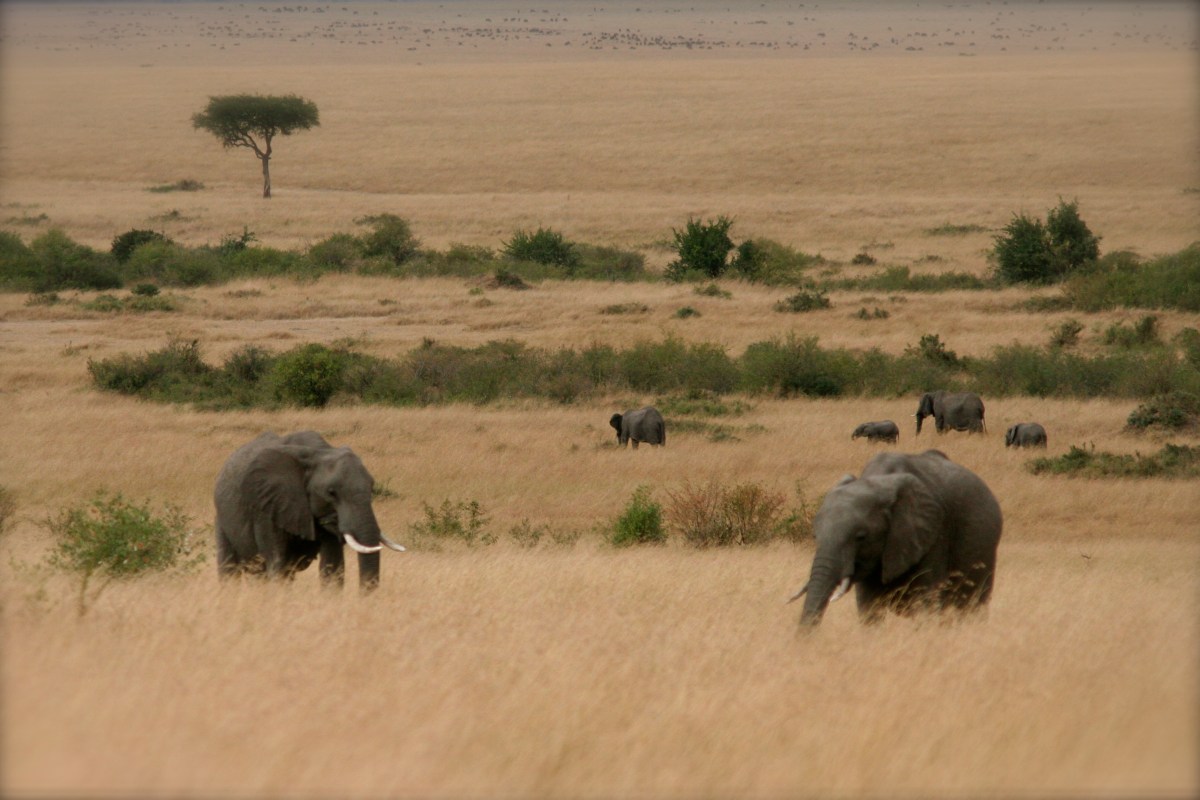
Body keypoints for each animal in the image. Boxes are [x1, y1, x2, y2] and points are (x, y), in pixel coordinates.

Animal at [214, 431, 405, 591]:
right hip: (221, 517)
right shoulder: (267, 506)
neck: (318, 452)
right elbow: (277, 561)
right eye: (331, 493)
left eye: (372, 488)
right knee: (231, 567)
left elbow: (332, 567)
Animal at [788, 449, 1002, 626]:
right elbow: (869, 608)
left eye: (861, 537)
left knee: (972, 605)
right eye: (815, 536)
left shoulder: (933, 534)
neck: (880, 480)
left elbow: (924, 602)